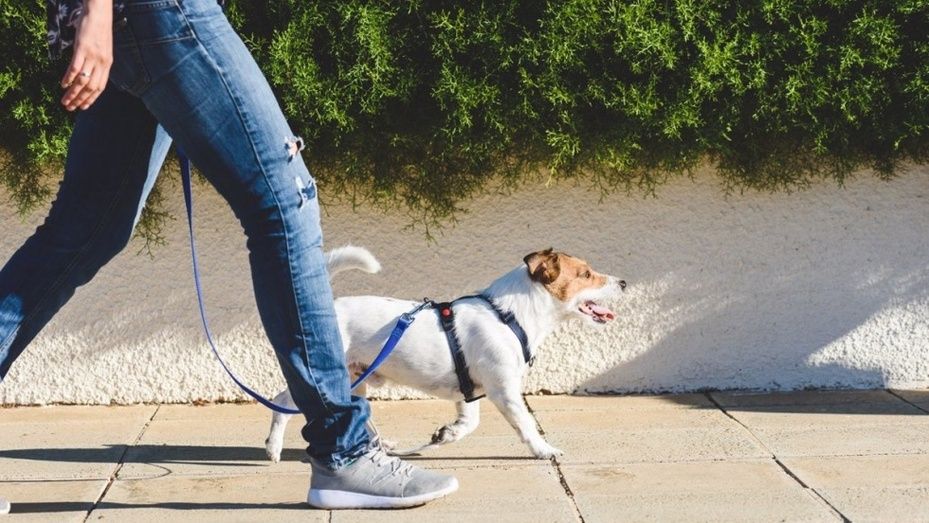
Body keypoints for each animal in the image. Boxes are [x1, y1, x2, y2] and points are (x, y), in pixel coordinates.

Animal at [262, 246, 624, 458]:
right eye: (586, 274)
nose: (622, 282)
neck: (509, 315)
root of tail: (328, 310)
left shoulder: (469, 392)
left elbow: (469, 423)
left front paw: (447, 434)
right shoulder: (504, 391)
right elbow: (526, 425)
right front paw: (544, 449)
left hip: (356, 380)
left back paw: (382, 445)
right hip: (325, 377)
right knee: (281, 402)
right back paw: (274, 448)